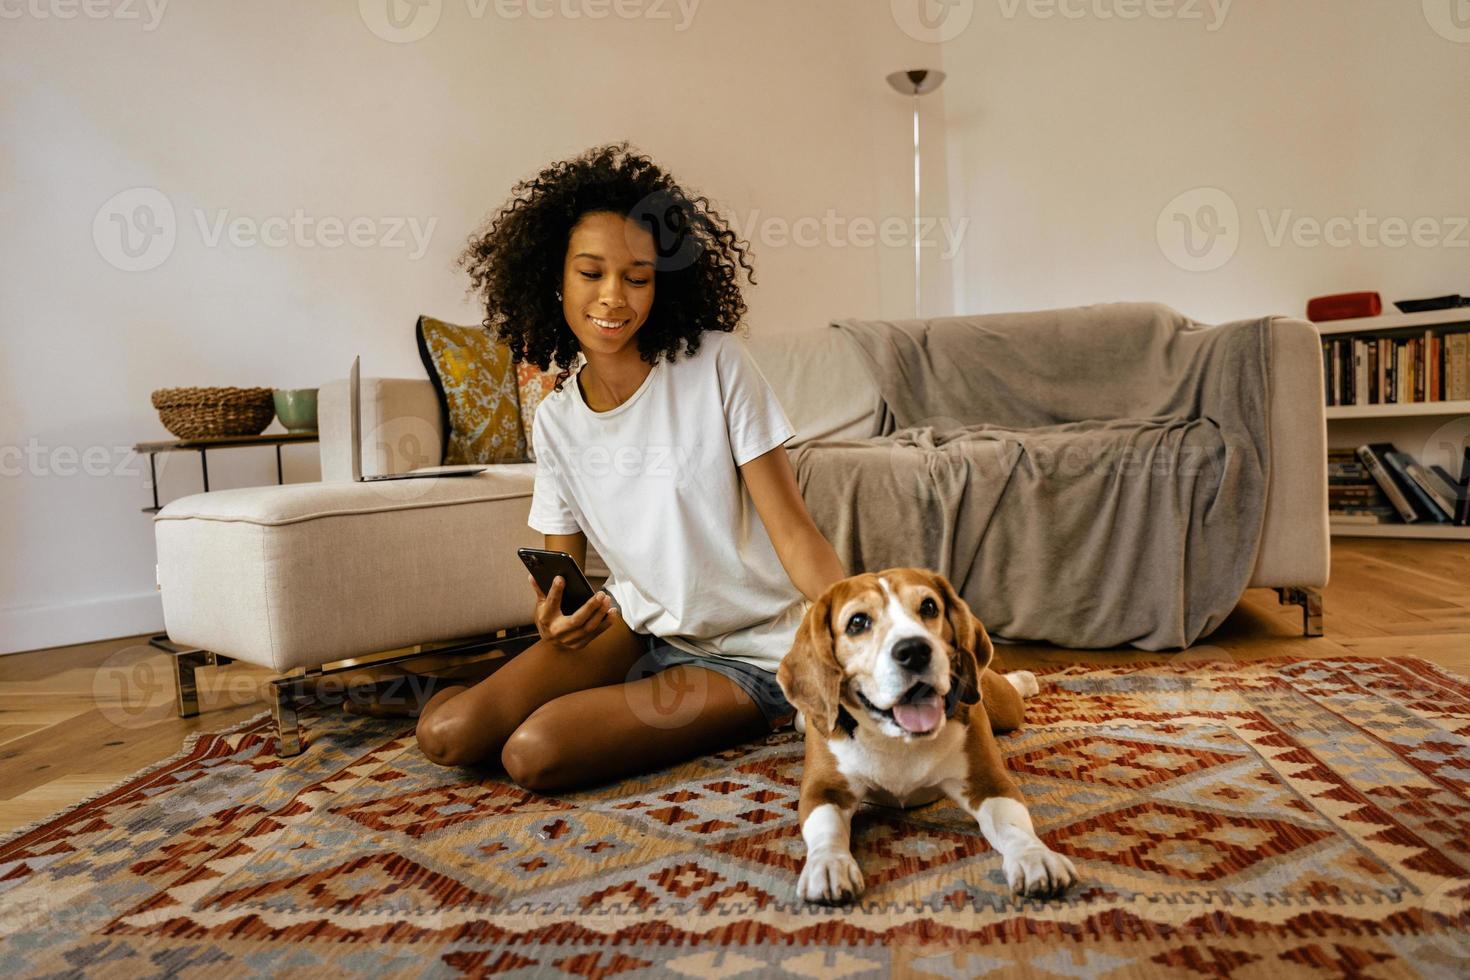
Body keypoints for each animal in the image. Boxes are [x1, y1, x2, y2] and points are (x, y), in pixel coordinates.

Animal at [776, 570, 1076, 910]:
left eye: (929, 607)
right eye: (857, 622)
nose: (914, 651)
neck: (896, 738)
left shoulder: (986, 783)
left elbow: (1012, 824)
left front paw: (1034, 855)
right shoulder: (825, 789)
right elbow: (826, 829)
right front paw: (828, 864)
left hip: (1002, 704)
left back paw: (1025, 679)